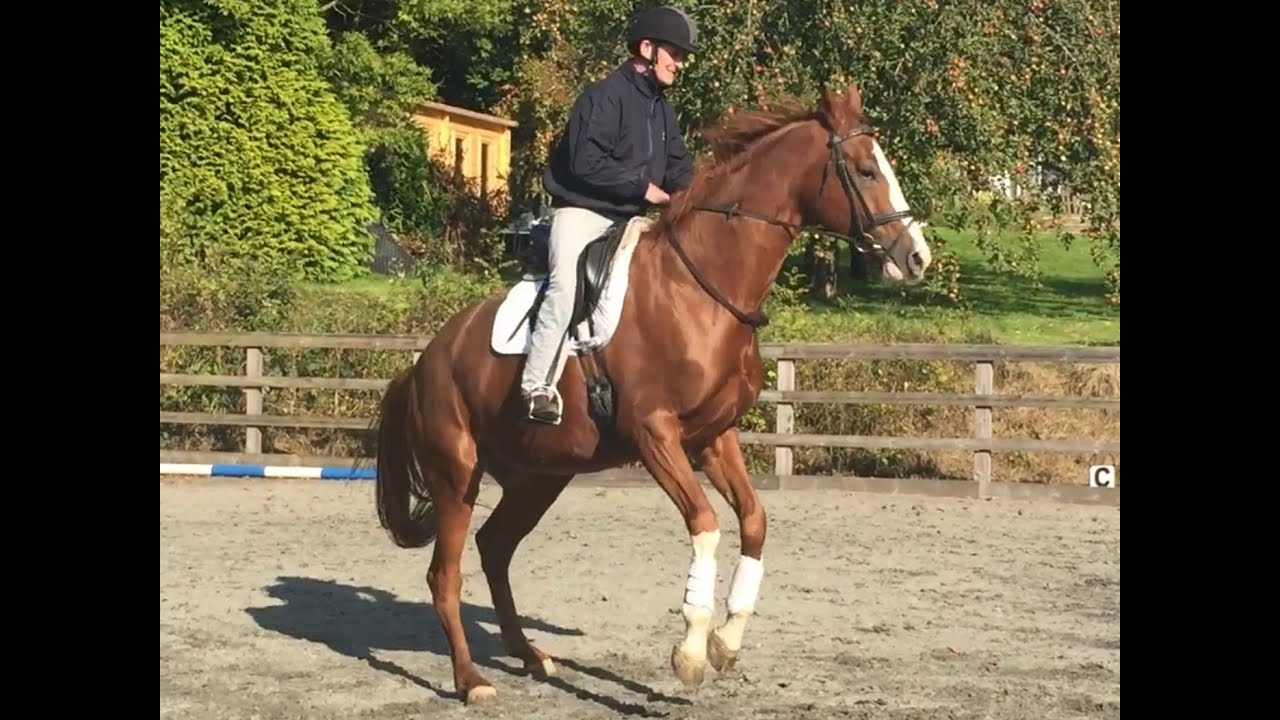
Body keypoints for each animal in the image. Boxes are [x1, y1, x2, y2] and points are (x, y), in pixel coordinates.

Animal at [372, 82, 933, 704]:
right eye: (864, 170)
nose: (916, 257)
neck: (704, 288)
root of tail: (425, 361)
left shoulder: (714, 436)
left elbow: (754, 521)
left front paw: (726, 642)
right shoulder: (655, 435)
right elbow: (707, 525)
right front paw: (690, 653)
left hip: (540, 475)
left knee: (495, 547)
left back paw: (532, 656)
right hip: (457, 477)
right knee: (445, 575)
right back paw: (472, 680)